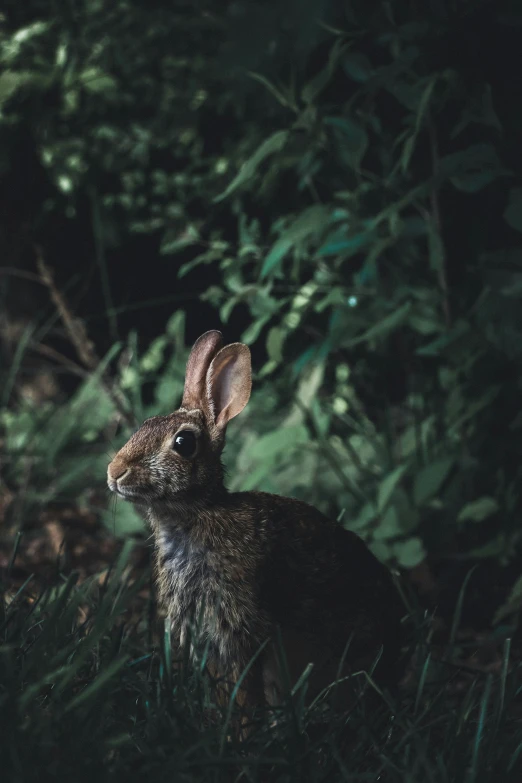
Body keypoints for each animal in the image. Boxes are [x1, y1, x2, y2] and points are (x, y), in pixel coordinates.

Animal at [106, 330, 406, 716]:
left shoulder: (238, 629)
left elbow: (244, 693)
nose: (115, 471)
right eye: (143, 425)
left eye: (184, 443)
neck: (198, 513)